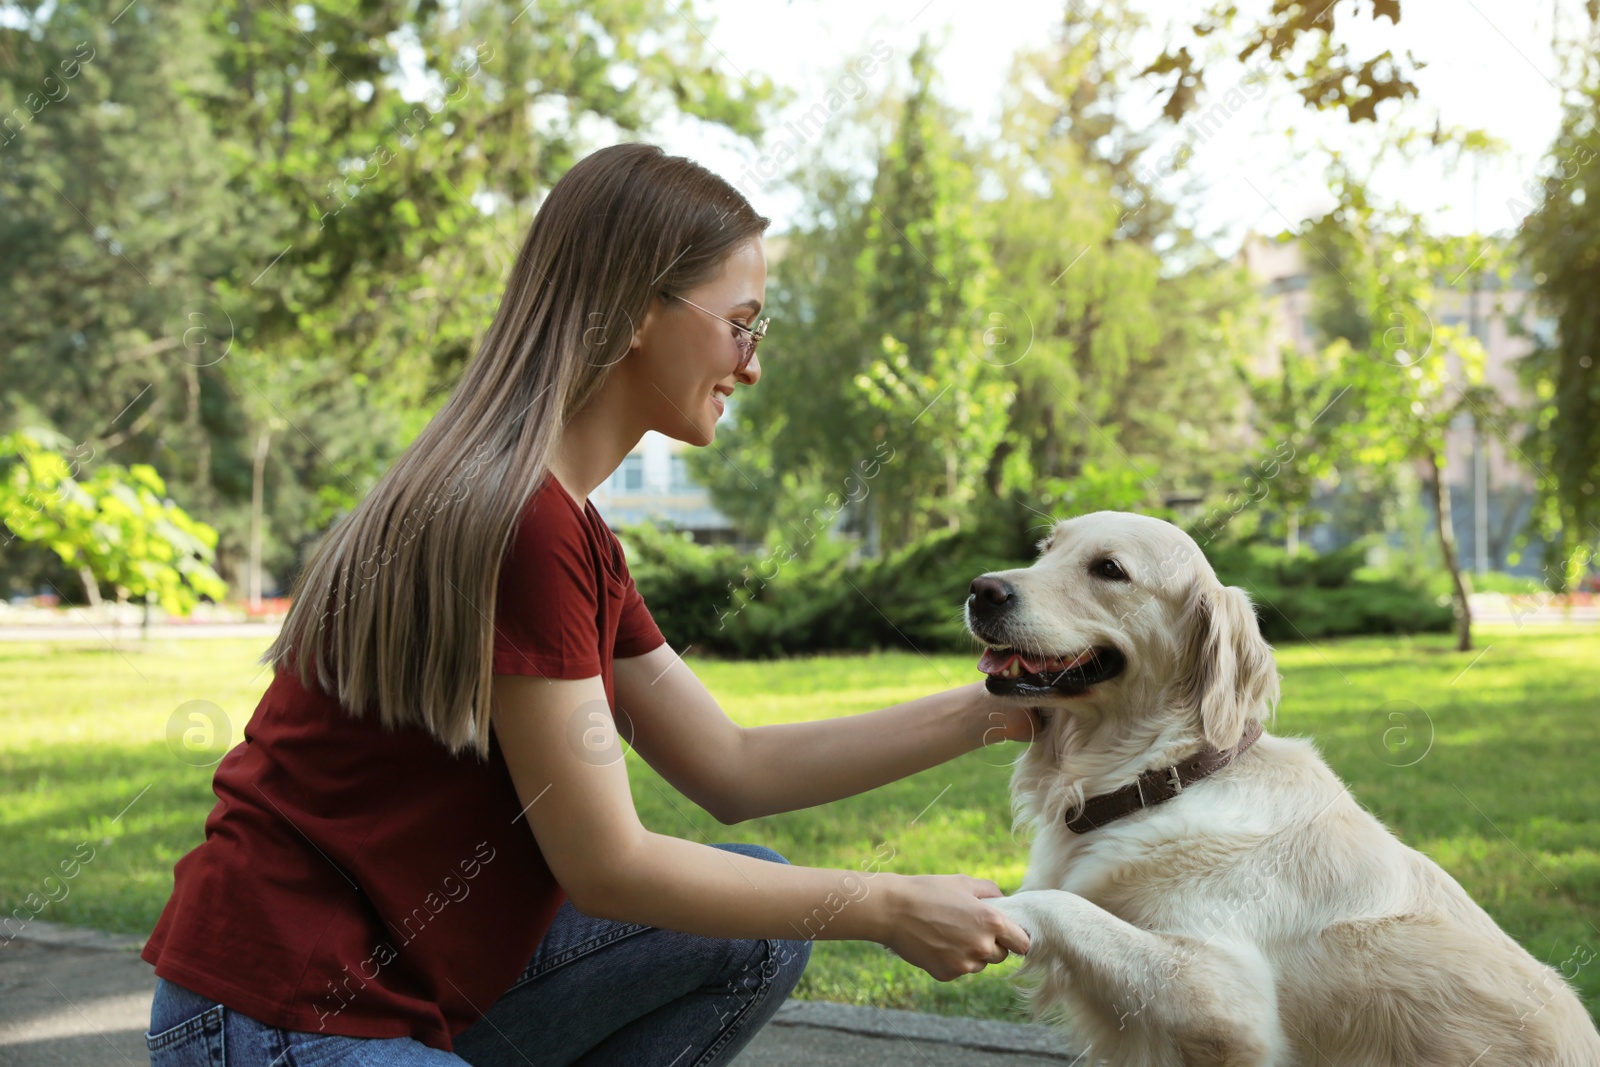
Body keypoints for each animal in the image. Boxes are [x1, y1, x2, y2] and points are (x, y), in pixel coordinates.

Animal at [960, 511, 1600, 1062]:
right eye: (1046, 549)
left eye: (1109, 569)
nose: (981, 589)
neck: (1162, 776)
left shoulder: (1225, 999)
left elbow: (1062, 904)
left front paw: (986, 910)